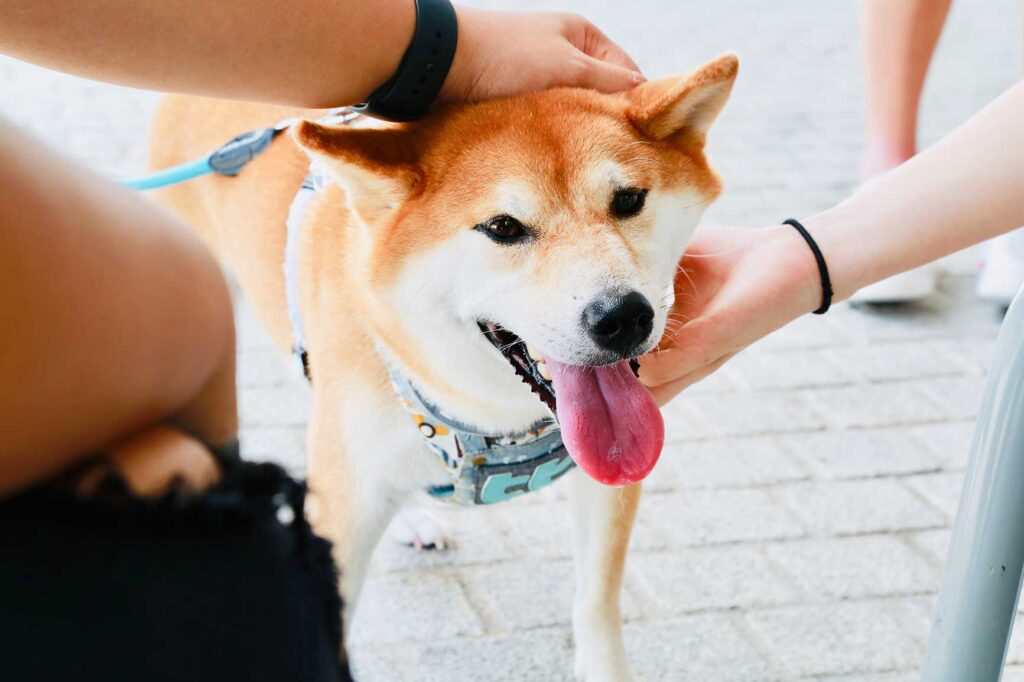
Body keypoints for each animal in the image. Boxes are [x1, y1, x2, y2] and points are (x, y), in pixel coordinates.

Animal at [149, 54, 737, 679]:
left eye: (627, 201)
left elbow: (597, 603)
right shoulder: (343, 513)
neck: (494, 420)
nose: (623, 317)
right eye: (503, 227)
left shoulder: (606, 477)